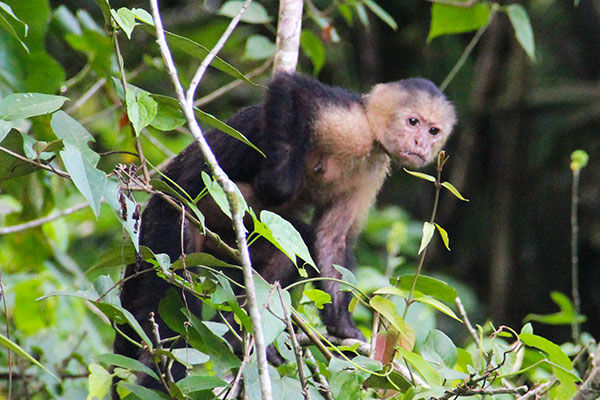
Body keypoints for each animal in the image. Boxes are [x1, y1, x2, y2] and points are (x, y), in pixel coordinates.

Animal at [115, 72, 458, 390]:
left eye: (433, 131)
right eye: (413, 122)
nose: (421, 144)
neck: (372, 139)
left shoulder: (373, 171)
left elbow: (331, 239)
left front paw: (343, 327)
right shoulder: (348, 123)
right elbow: (291, 89)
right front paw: (279, 180)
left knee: (294, 243)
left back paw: (241, 336)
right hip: (168, 221)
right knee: (176, 296)